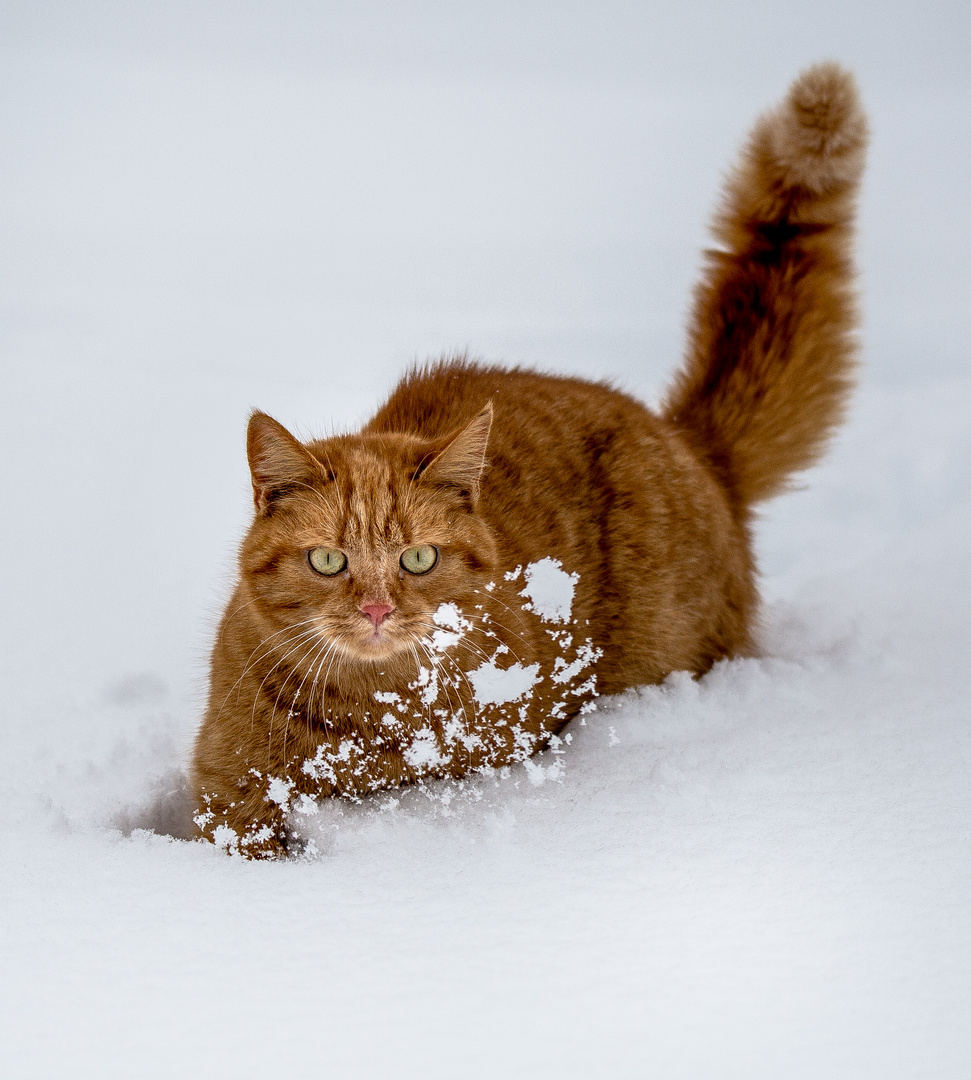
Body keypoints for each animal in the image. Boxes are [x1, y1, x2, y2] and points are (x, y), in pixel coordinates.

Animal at [187, 63, 864, 855]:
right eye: (327, 560)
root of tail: (689, 441)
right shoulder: (228, 797)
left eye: (418, 558)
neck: (367, 724)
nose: (378, 609)